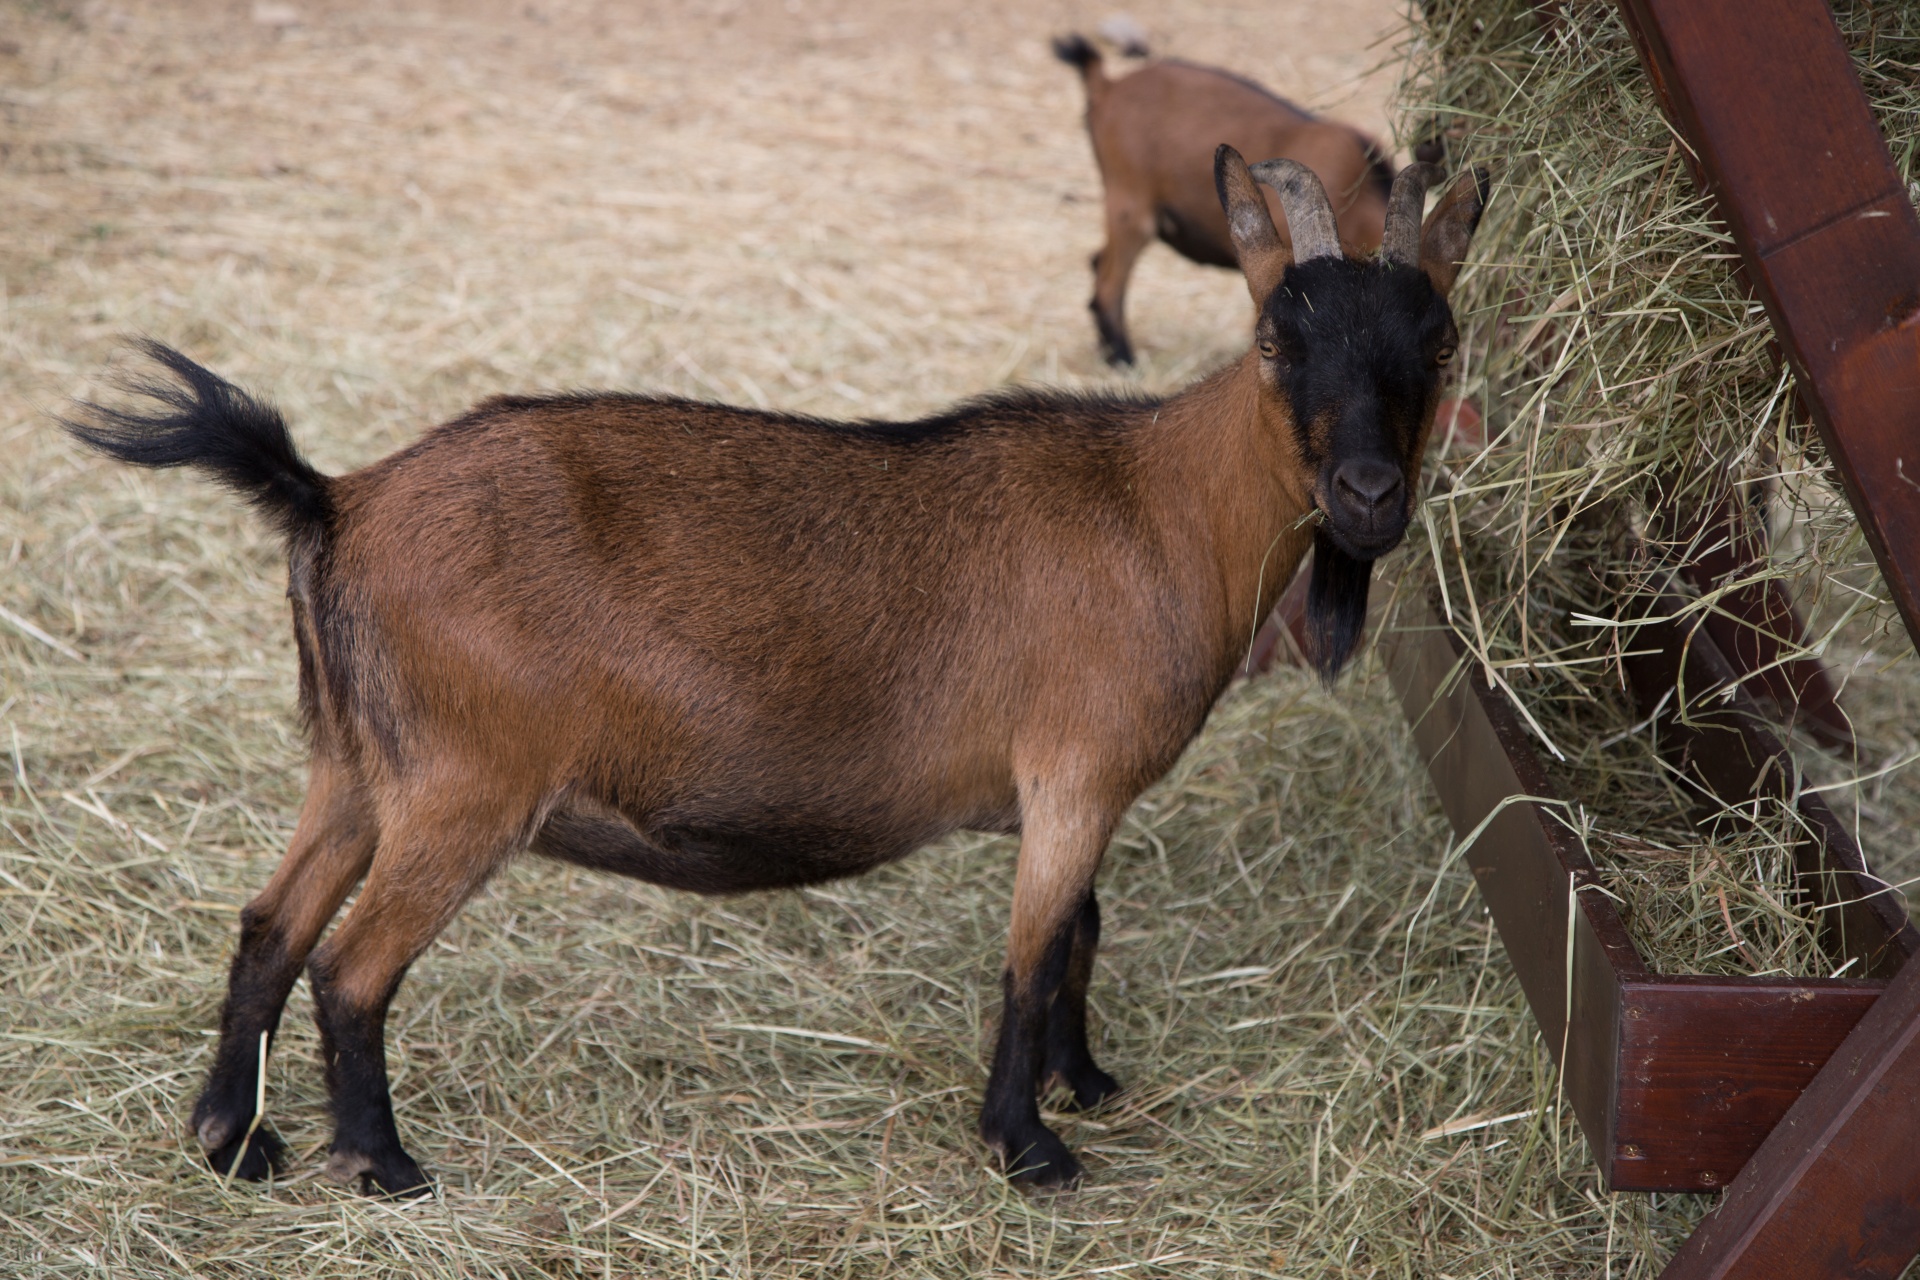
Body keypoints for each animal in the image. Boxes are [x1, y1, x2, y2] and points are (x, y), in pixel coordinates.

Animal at [67, 152, 1482, 1205]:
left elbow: (1080, 929)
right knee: (351, 965)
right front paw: (1031, 1146)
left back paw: (234, 1142)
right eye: (1277, 335)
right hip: (461, 786)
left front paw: (1084, 1082)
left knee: (268, 925)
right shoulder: (1074, 774)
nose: (1369, 494)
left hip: (356, 762)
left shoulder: (1072, 793)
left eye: (1439, 337)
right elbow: (1033, 954)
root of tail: (334, 500)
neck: (1158, 505)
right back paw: (384, 1163)